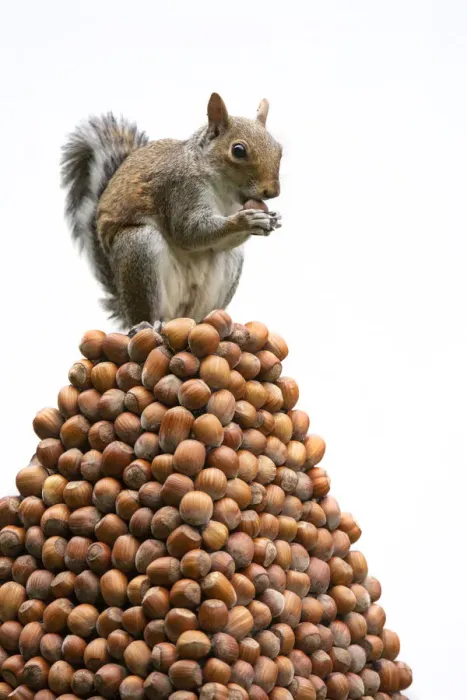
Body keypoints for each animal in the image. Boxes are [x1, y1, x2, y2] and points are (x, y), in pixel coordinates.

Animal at [61, 93, 282, 333]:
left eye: (279, 149)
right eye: (238, 150)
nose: (273, 191)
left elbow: (217, 241)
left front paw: (271, 220)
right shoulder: (180, 190)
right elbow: (188, 231)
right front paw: (246, 220)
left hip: (225, 271)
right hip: (140, 248)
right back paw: (149, 325)